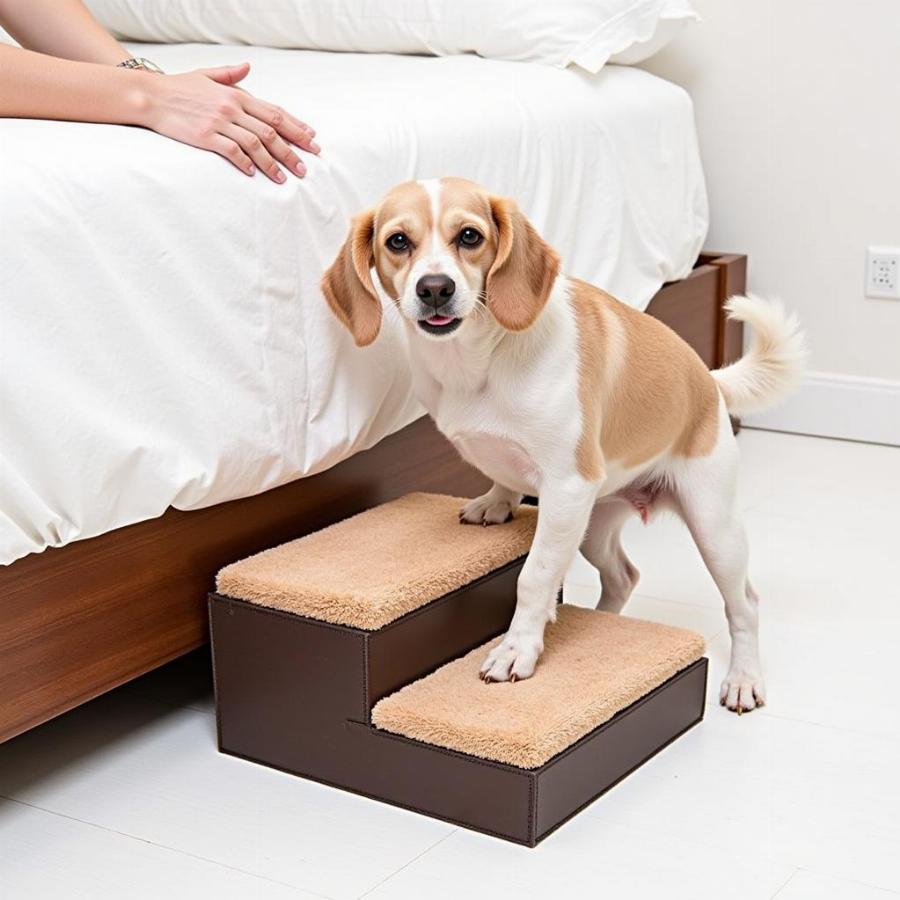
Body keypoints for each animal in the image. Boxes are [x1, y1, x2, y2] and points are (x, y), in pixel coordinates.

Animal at [320, 178, 804, 712]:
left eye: (469, 236)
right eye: (398, 241)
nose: (435, 289)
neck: (480, 359)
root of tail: (710, 384)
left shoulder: (567, 487)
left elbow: (534, 578)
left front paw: (518, 649)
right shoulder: (561, 499)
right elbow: (503, 481)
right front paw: (498, 501)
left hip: (713, 529)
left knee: (744, 605)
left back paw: (743, 678)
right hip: (592, 527)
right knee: (624, 577)